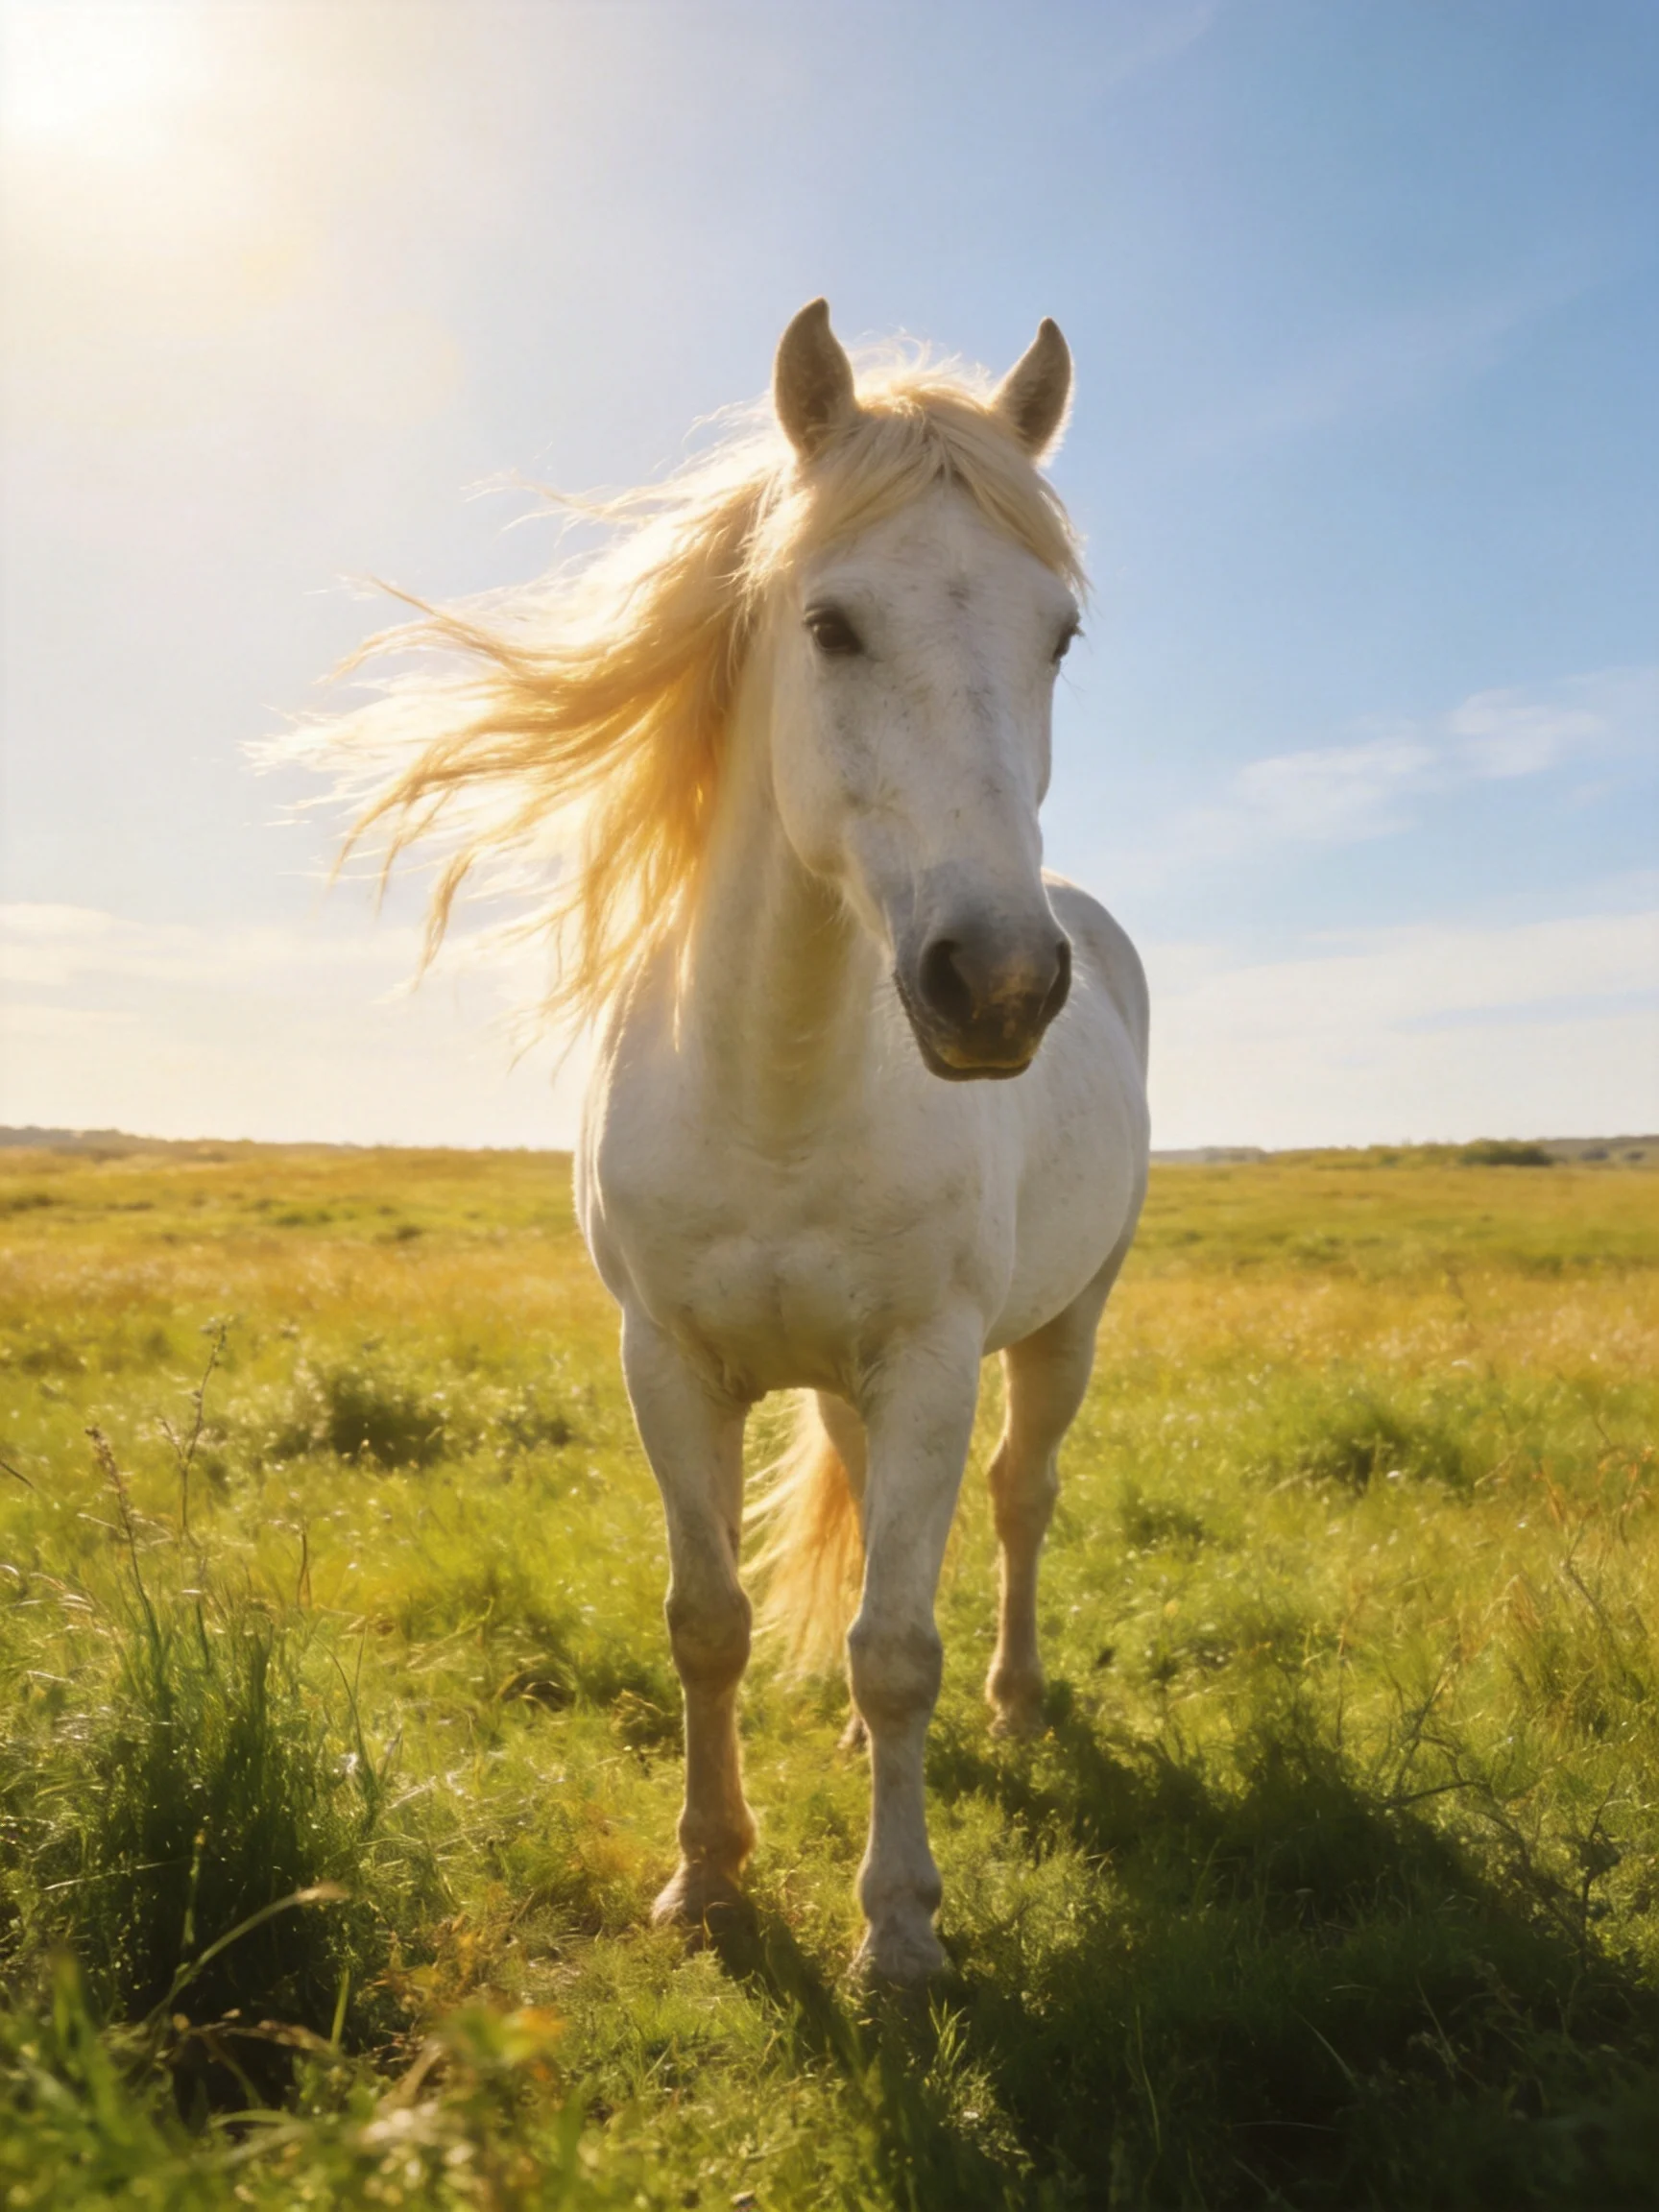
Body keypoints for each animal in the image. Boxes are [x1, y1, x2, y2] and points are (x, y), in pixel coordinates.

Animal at [302, 301, 1150, 1985]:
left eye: (1059, 638)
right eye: (831, 624)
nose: (1000, 985)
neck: (779, 1088)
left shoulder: (934, 1361)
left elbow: (901, 1647)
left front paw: (899, 1932)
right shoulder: (668, 1364)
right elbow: (709, 1622)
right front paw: (705, 1878)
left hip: (1062, 1328)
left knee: (1020, 1502)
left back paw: (1019, 1708)